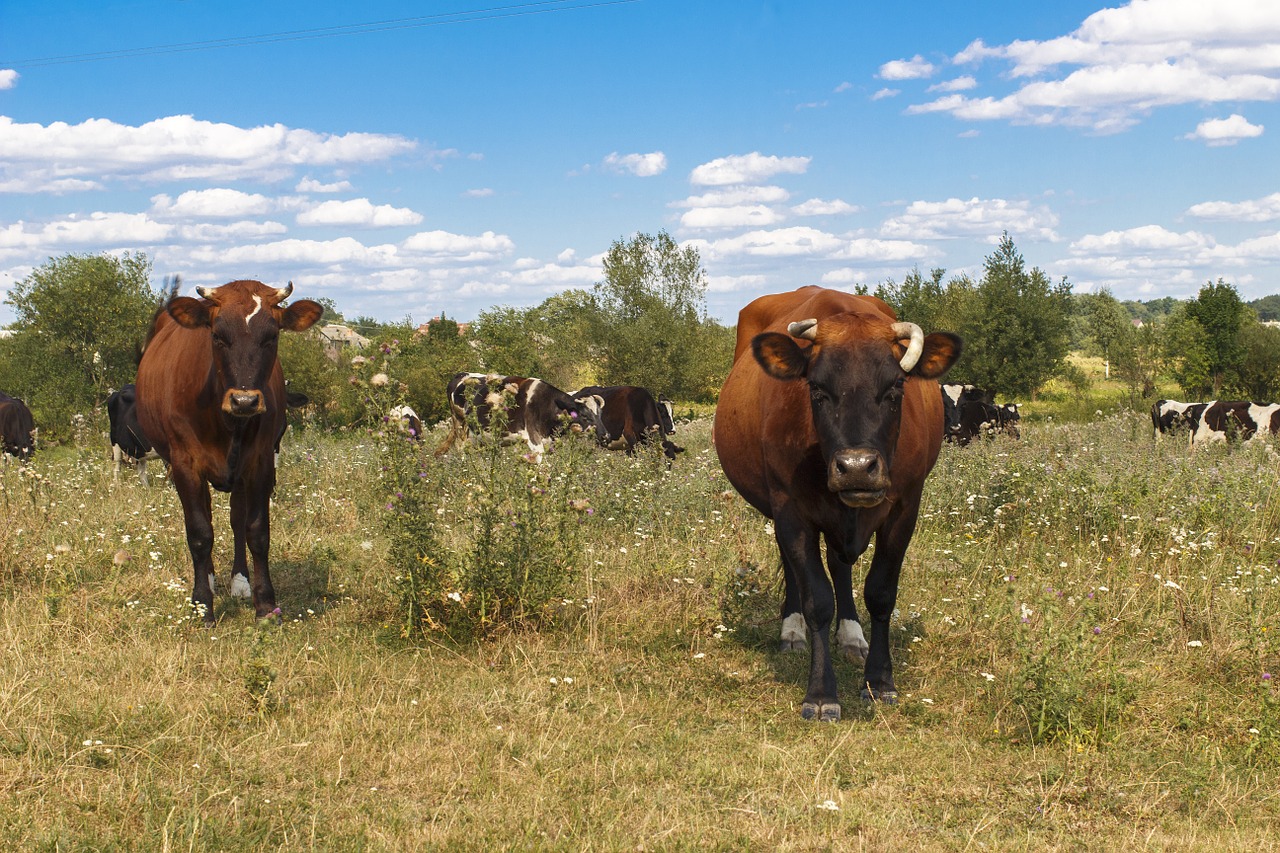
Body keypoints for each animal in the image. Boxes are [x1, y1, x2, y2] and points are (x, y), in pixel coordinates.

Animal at [135, 281, 322, 622]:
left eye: (271, 336)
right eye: (218, 336)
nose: (244, 401)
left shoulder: (261, 463)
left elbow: (256, 531)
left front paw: (265, 604)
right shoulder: (185, 464)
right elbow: (199, 533)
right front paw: (202, 604)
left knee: (236, 520)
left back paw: (240, 582)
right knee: (206, 518)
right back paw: (208, 580)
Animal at [435, 371, 604, 458]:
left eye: (599, 415)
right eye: (585, 416)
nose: (605, 435)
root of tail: (461, 374)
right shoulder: (534, 440)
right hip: (460, 427)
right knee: (461, 450)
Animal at [711, 285, 962, 717]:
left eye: (895, 389)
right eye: (816, 390)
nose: (857, 467)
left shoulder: (905, 508)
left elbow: (880, 593)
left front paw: (879, 680)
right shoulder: (791, 510)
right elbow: (817, 598)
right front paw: (821, 692)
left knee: (840, 566)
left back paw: (851, 635)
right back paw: (792, 630)